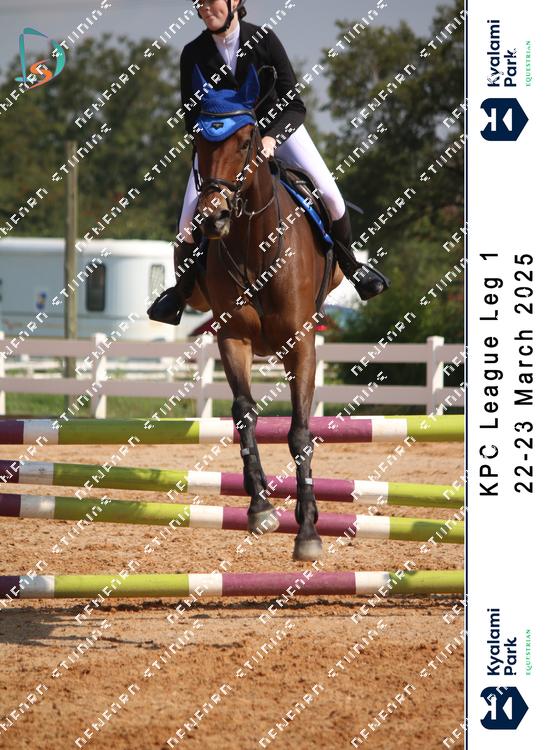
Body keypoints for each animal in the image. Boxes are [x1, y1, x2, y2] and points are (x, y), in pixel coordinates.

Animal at [187, 64, 343, 561]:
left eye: (246, 140)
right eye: (198, 141)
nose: (213, 218)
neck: (256, 245)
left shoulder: (302, 343)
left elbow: (299, 433)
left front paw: (308, 531)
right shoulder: (232, 337)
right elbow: (244, 413)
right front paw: (259, 506)